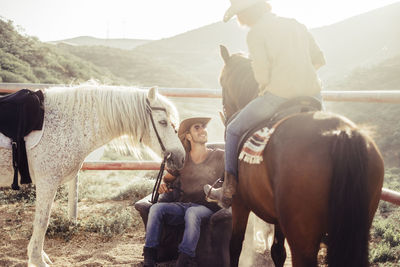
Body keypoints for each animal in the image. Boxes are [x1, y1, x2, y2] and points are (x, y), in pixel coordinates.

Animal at [0, 85, 185, 267]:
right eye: (163, 122)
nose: (181, 157)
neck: (65, 125)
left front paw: (38, 256)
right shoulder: (47, 181)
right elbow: (42, 222)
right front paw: (37, 260)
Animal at [219, 45, 384, 266]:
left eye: (222, 80)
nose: (227, 115)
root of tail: (340, 133)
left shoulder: (239, 204)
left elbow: (235, 246)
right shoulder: (279, 219)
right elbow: (278, 251)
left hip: (302, 240)